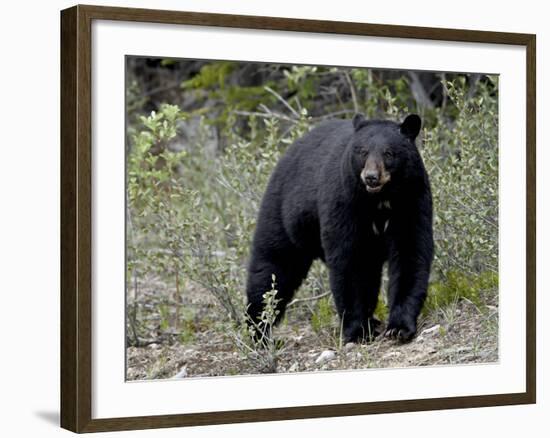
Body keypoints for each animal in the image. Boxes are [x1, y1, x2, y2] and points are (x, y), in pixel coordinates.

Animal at [247, 114, 436, 342]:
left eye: (389, 153)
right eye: (362, 151)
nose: (371, 176)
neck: (379, 200)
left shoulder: (411, 198)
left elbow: (410, 251)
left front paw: (398, 327)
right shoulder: (345, 201)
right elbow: (350, 260)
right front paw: (358, 331)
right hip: (283, 213)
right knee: (272, 267)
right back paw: (259, 331)